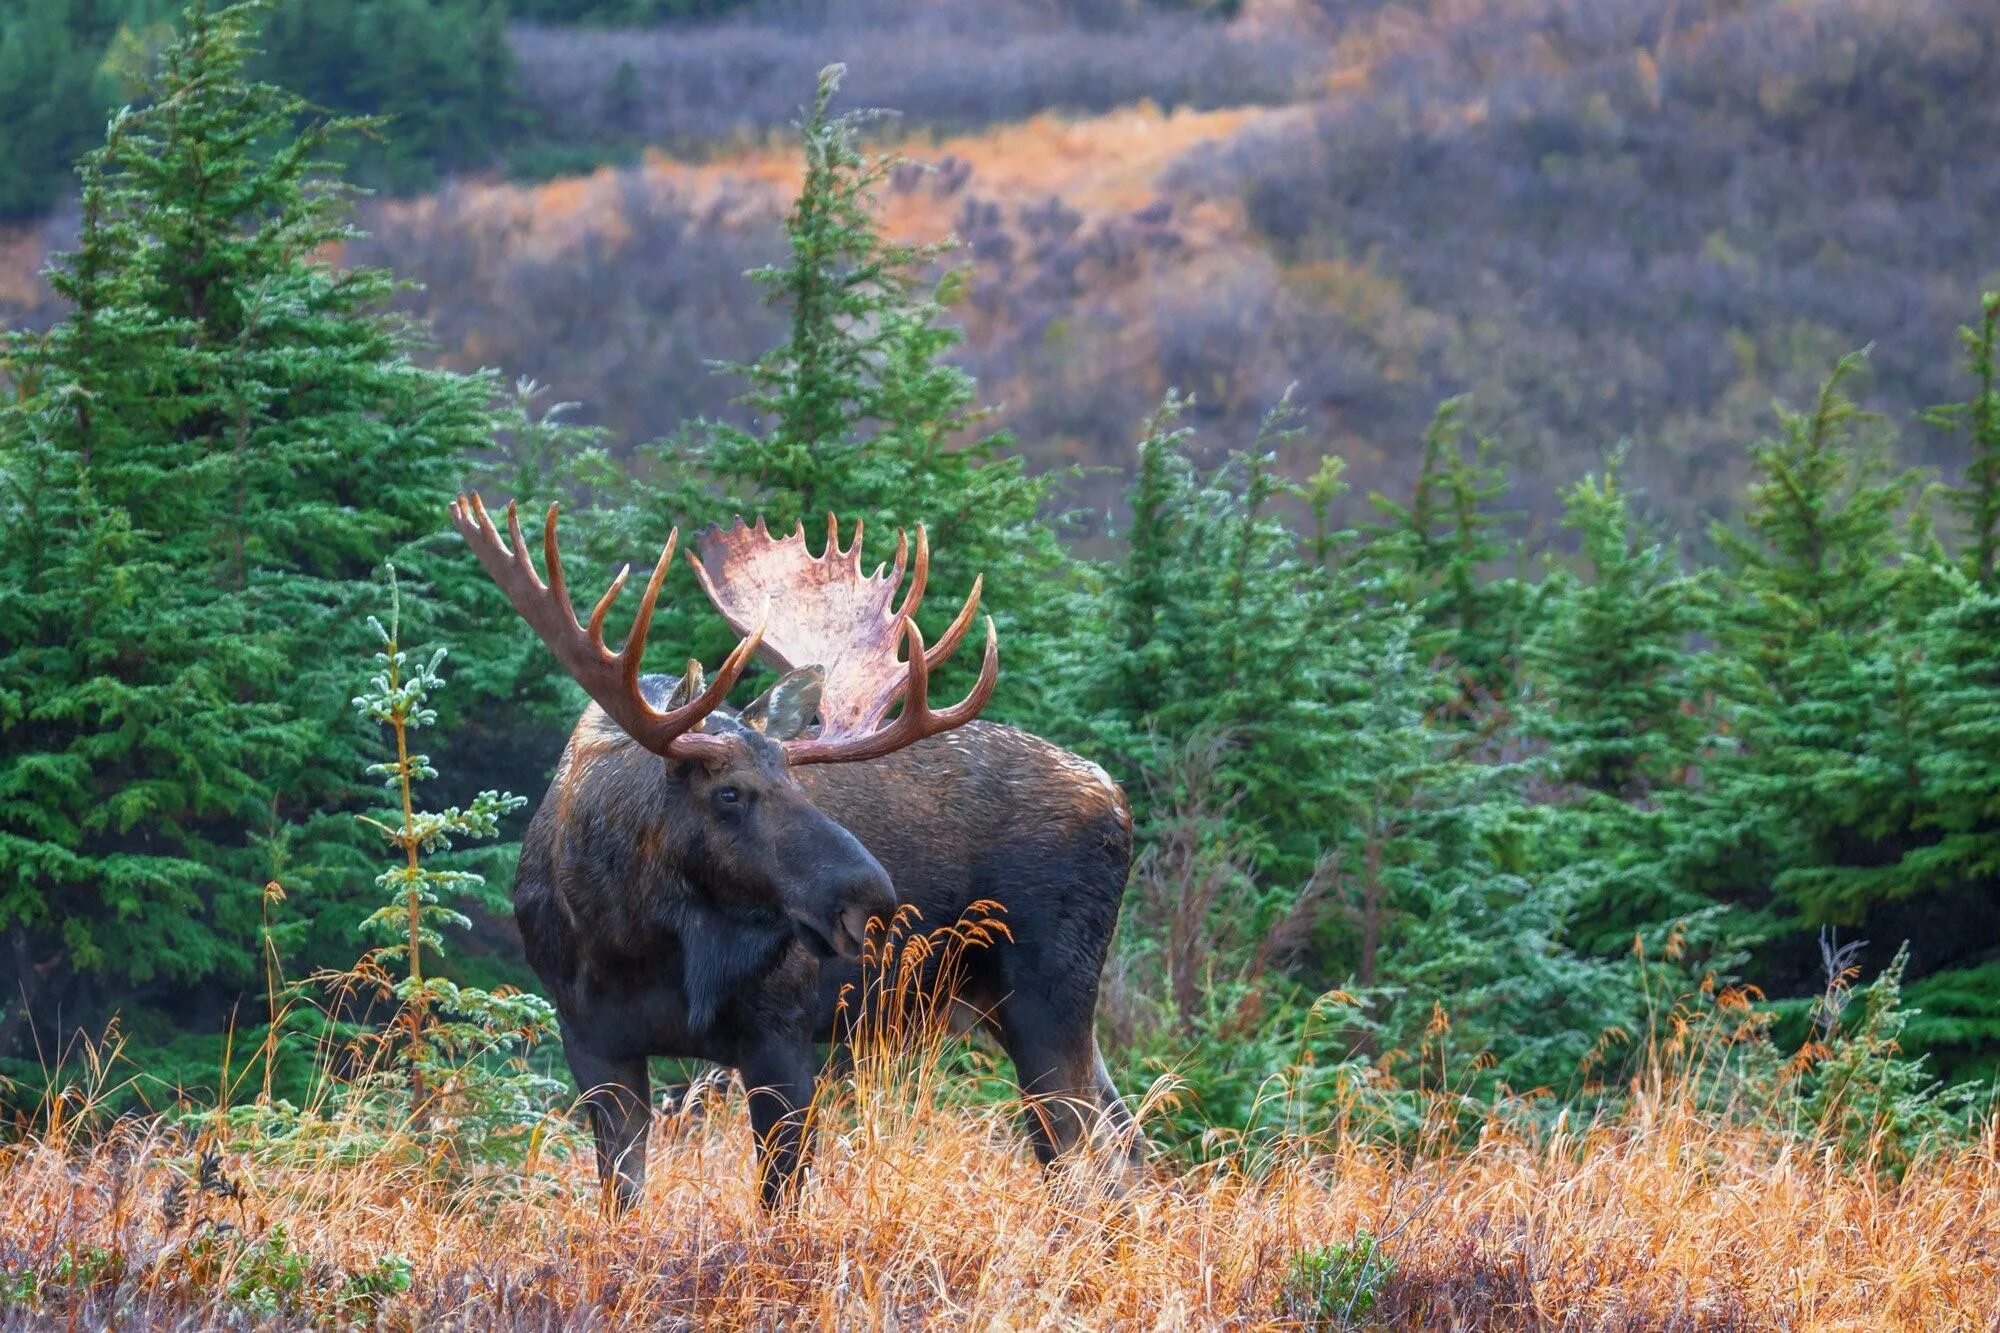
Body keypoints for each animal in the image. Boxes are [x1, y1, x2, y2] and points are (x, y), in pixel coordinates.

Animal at [454, 496, 1144, 1200]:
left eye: (795, 776)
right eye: (729, 793)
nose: (874, 896)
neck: (632, 939)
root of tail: (1116, 796)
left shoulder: (781, 1032)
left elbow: (778, 1202)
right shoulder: (591, 1039)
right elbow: (622, 1196)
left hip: (1048, 997)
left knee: (1091, 1159)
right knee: (1120, 1143)